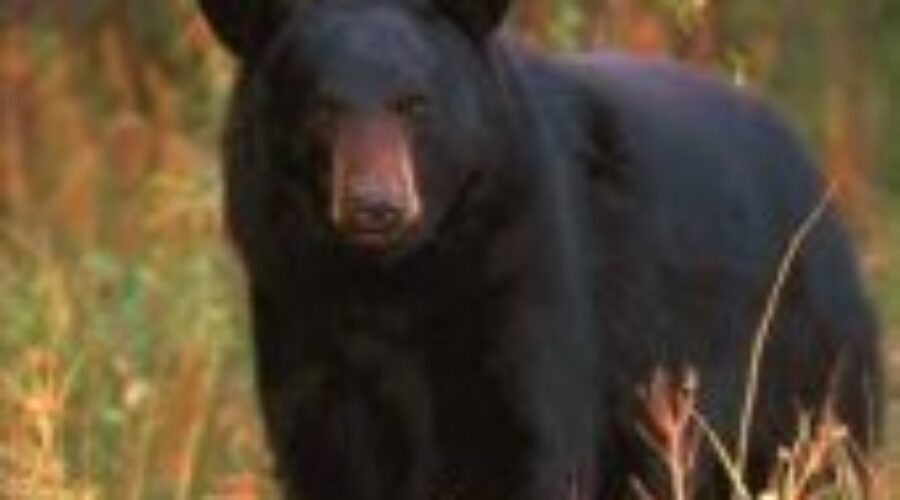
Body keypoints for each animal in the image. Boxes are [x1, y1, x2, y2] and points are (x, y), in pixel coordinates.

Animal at [197, 0, 883, 498]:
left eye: (414, 104)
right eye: (324, 108)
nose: (376, 206)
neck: (394, 283)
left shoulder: (523, 268)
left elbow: (526, 442)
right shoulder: (302, 312)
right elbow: (323, 450)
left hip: (799, 362)